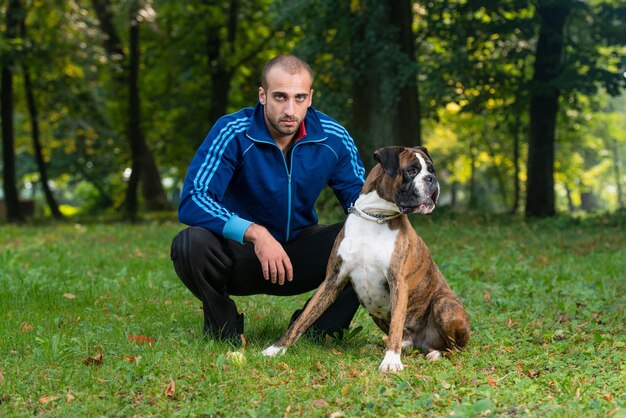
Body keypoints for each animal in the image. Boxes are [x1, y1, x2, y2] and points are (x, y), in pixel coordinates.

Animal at [260, 145, 468, 370]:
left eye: (431, 170)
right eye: (411, 171)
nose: (432, 179)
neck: (376, 216)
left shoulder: (398, 283)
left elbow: (397, 324)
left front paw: (391, 361)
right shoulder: (333, 280)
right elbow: (303, 319)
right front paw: (277, 349)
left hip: (444, 305)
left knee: (454, 348)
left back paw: (434, 353)